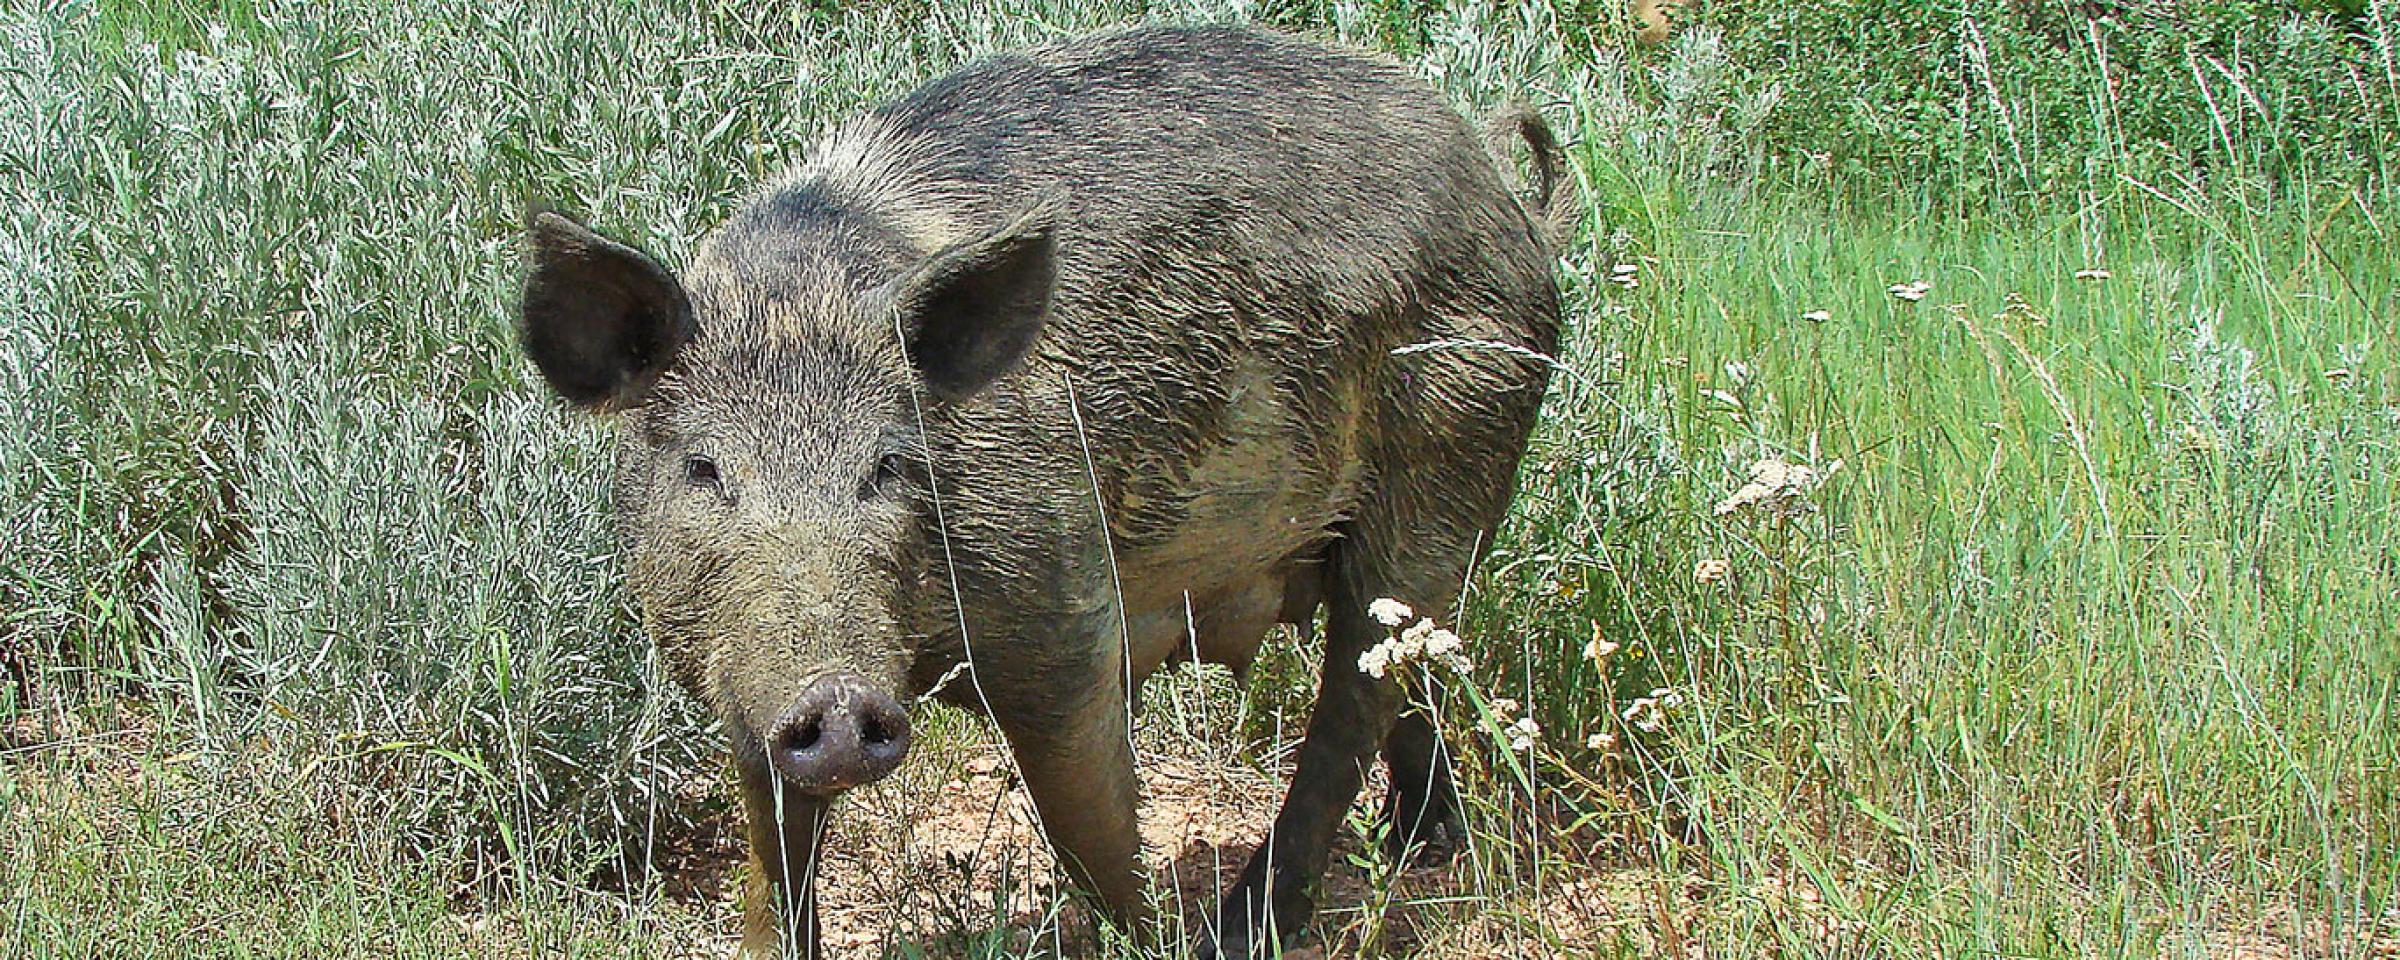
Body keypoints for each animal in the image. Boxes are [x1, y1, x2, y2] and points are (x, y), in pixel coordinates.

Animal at [520, 22, 1574, 960]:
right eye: (703, 469)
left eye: (888, 464)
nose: (838, 699)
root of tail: (1505, 194)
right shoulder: (732, 671)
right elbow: (776, 854)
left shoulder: (1063, 612)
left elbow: (1090, 822)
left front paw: (1153, 940)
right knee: (1411, 669)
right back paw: (1422, 845)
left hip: (1450, 447)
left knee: (1355, 700)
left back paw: (1243, 931)